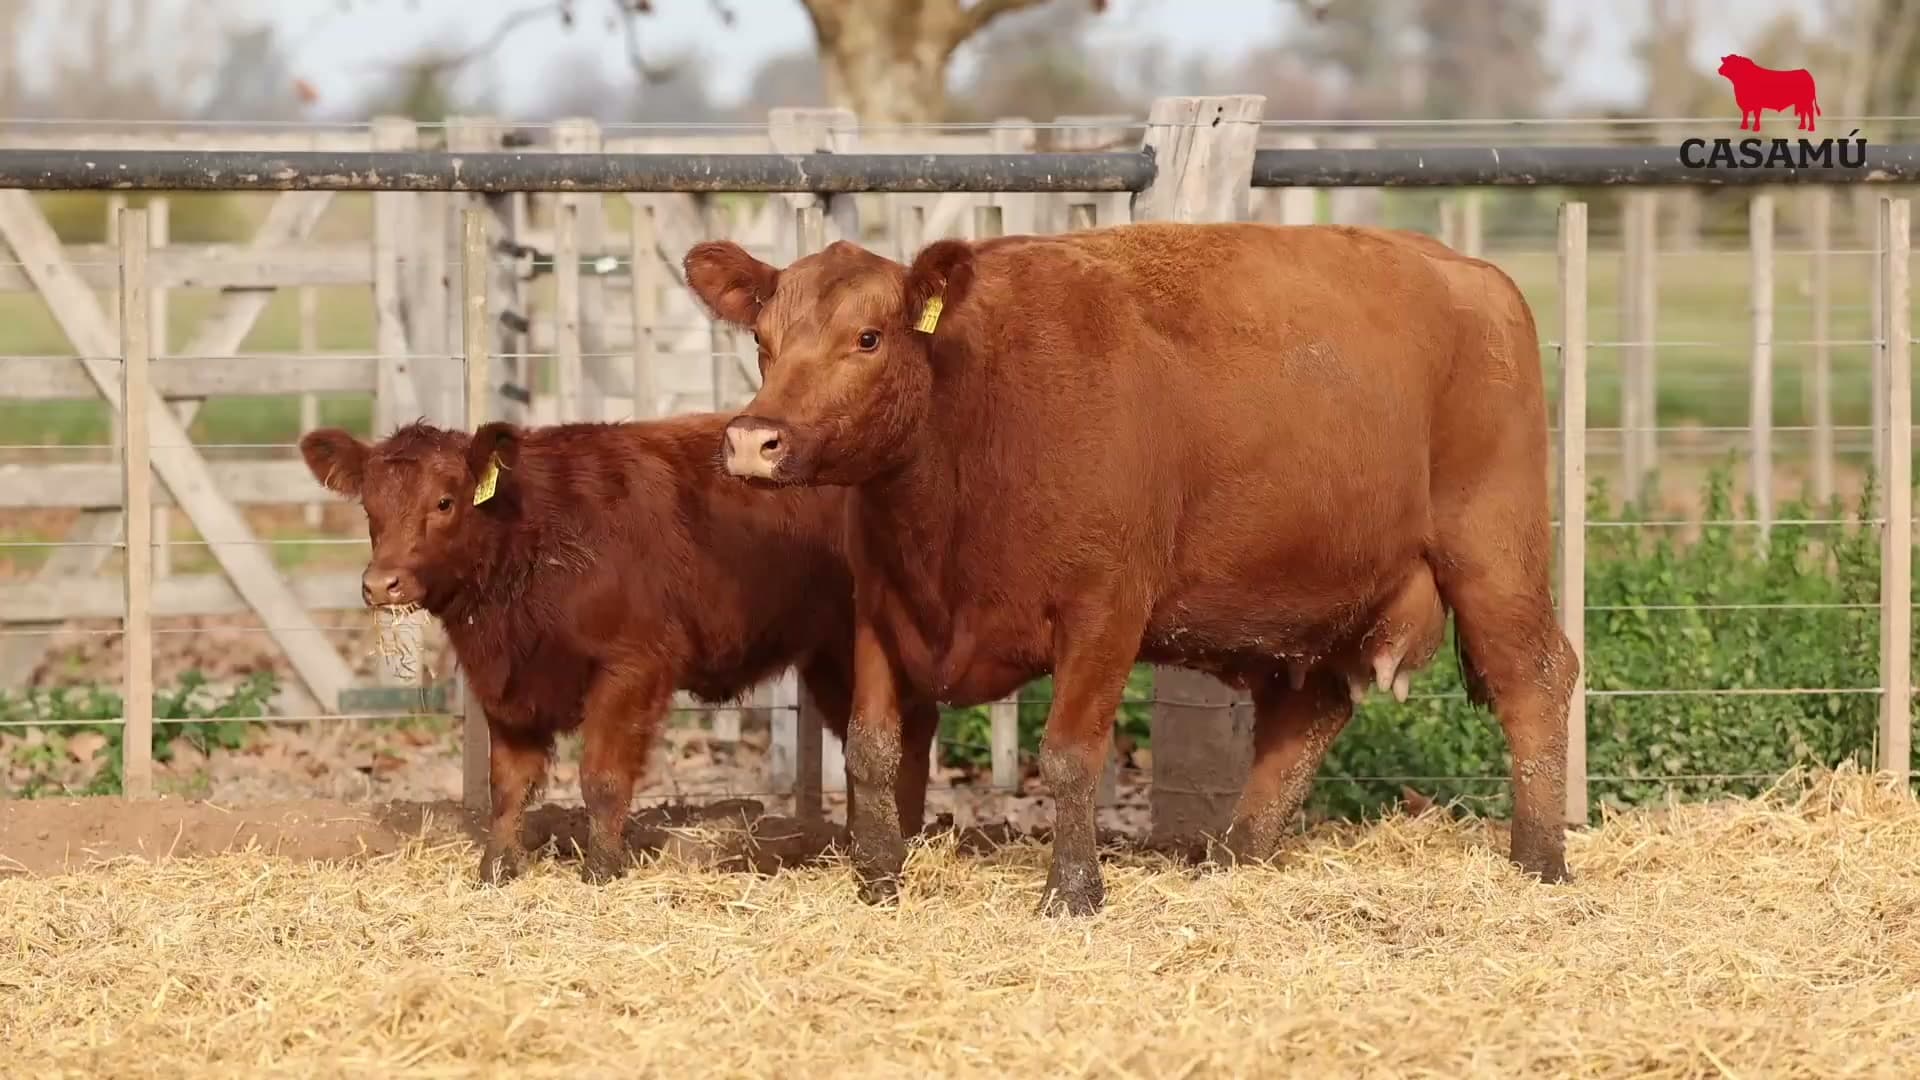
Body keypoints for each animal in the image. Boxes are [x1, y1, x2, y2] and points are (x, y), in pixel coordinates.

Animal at [298, 415, 941, 886]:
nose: (382, 584)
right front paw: (496, 870)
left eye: (445, 501)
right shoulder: (504, 684)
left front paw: (601, 870)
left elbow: (602, 778)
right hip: (831, 657)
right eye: (370, 508)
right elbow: (507, 785)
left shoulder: (631, 667)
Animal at [685, 221, 1577, 916]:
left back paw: (1538, 859)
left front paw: (1072, 891)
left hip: (1494, 553)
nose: (754, 440)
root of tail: (1474, 274)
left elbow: (1070, 752)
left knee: (1535, 678)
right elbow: (873, 747)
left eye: (867, 338)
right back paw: (1235, 854)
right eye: (762, 342)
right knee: (1310, 712)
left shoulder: (1104, 611)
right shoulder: (880, 608)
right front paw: (877, 878)